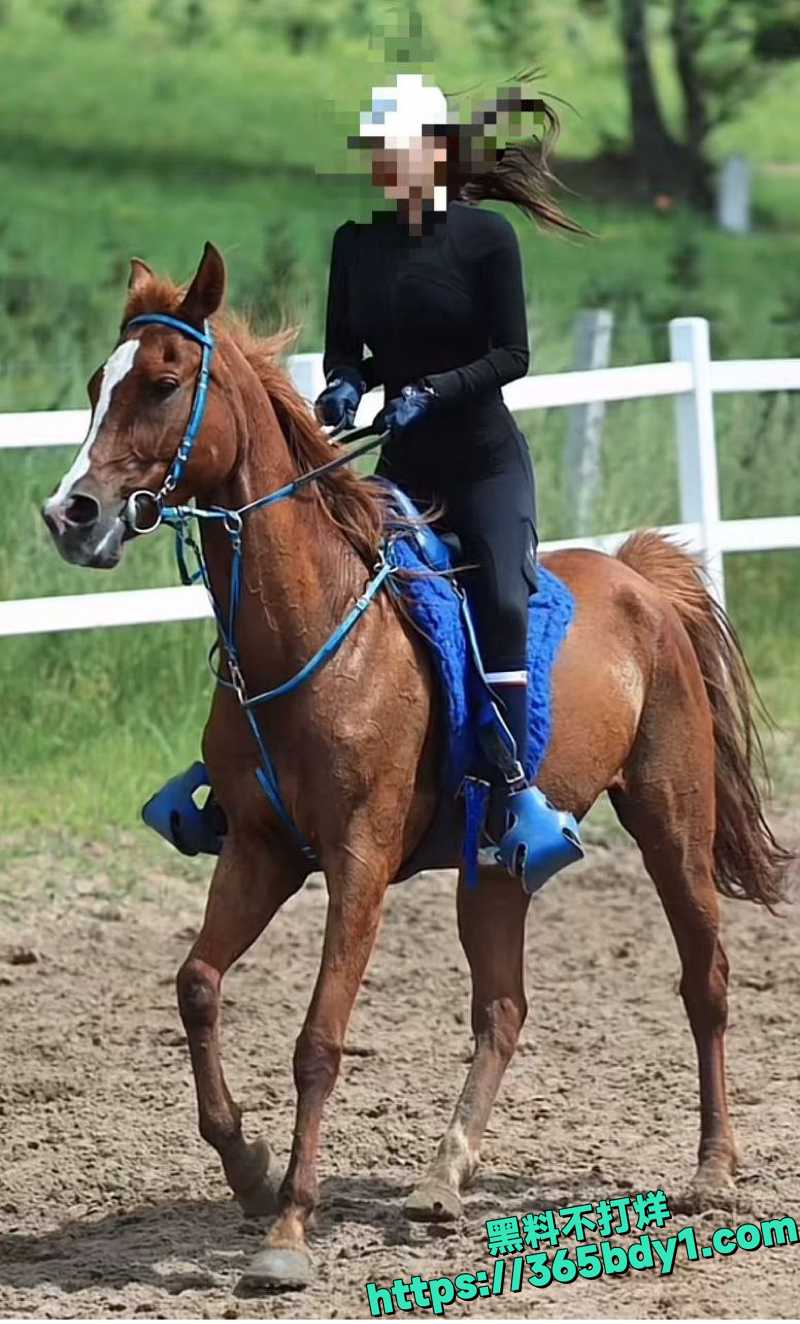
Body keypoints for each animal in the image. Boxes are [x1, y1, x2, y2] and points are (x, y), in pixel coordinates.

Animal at [42, 242, 791, 1291]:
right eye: (94, 386)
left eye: (161, 382)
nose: (72, 514)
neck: (314, 630)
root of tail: (642, 577)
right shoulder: (263, 850)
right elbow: (195, 985)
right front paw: (248, 1166)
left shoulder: (357, 862)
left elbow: (319, 1039)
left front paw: (288, 1233)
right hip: (497, 868)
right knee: (504, 1009)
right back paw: (442, 1179)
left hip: (670, 822)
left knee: (706, 982)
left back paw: (712, 1172)